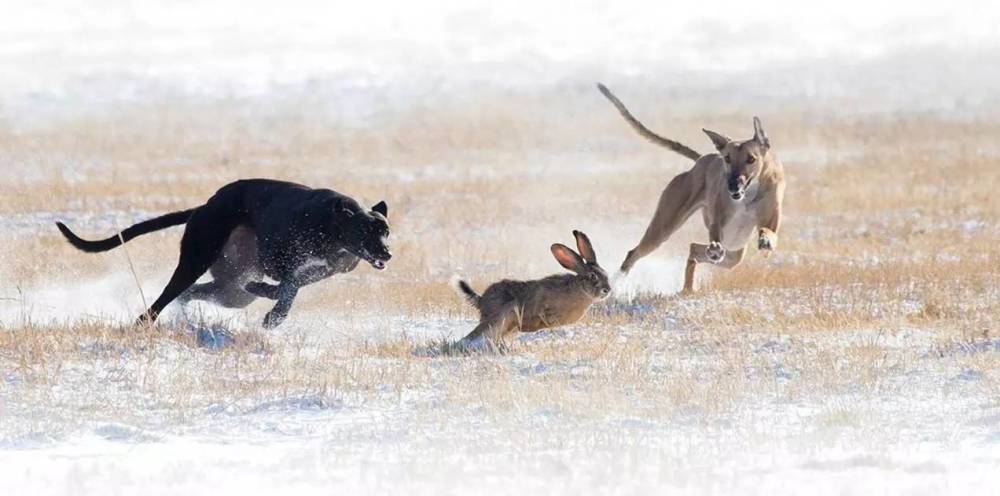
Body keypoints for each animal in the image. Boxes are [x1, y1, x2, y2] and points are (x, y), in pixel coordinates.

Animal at [53, 179, 390, 330]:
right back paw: (143, 324)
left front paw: (271, 303)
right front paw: (273, 312)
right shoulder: (278, 261)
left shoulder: (320, 270)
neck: (333, 228)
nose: (387, 253)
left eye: (386, 231)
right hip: (195, 260)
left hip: (229, 292)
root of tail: (203, 206)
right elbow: (288, 287)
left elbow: (290, 287)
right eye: (365, 231)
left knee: (191, 294)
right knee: (162, 300)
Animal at [596, 81, 784, 290]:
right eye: (727, 158)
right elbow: (715, 232)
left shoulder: (771, 215)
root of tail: (701, 159)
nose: (733, 187)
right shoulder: (718, 218)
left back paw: (689, 287)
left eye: (751, 159)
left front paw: (765, 240)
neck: (748, 195)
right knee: (636, 252)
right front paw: (715, 247)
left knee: (696, 249)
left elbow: (770, 232)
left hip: (734, 250)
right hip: (665, 225)